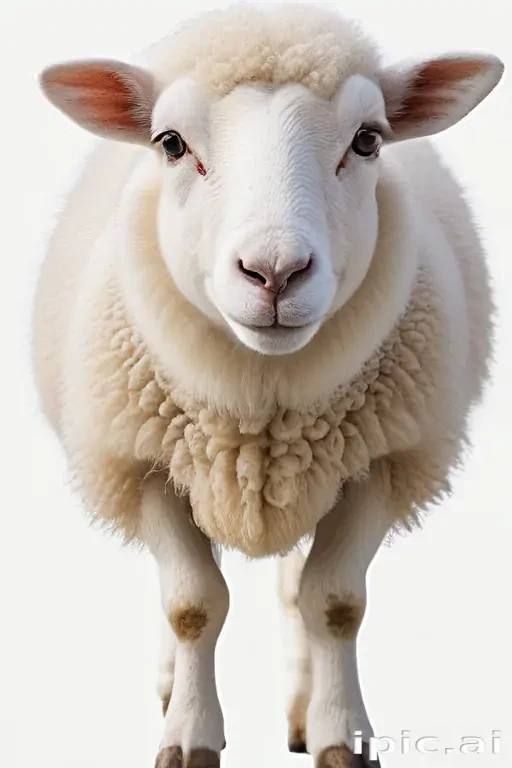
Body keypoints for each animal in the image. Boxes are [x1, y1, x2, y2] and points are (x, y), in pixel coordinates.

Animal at [33, 3, 503, 766]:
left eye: (368, 141)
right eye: (170, 143)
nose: (275, 272)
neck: (261, 409)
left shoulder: (378, 462)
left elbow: (334, 604)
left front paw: (340, 735)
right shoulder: (146, 466)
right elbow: (191, 605)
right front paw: (188, 733)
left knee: (295, 591)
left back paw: (302, 708)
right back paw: (169, 684)